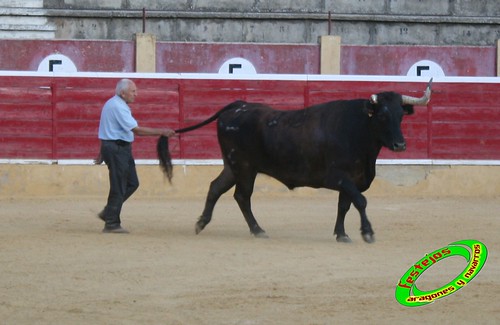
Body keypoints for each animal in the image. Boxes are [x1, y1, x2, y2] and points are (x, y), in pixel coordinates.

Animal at [158, 80, 432, 243]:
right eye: (383, 116)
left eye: (400, 115)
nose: (400, 145)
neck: (358, 129)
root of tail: (238, 105)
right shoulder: (339, 177)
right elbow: (360, 201)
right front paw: (367, 232)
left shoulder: (351, 180)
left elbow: (345, 205)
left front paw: (341, 234)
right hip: (244, 167)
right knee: (242, 196)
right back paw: (257, 230)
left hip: (233, 166)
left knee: (216, 188)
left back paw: (202, 223)